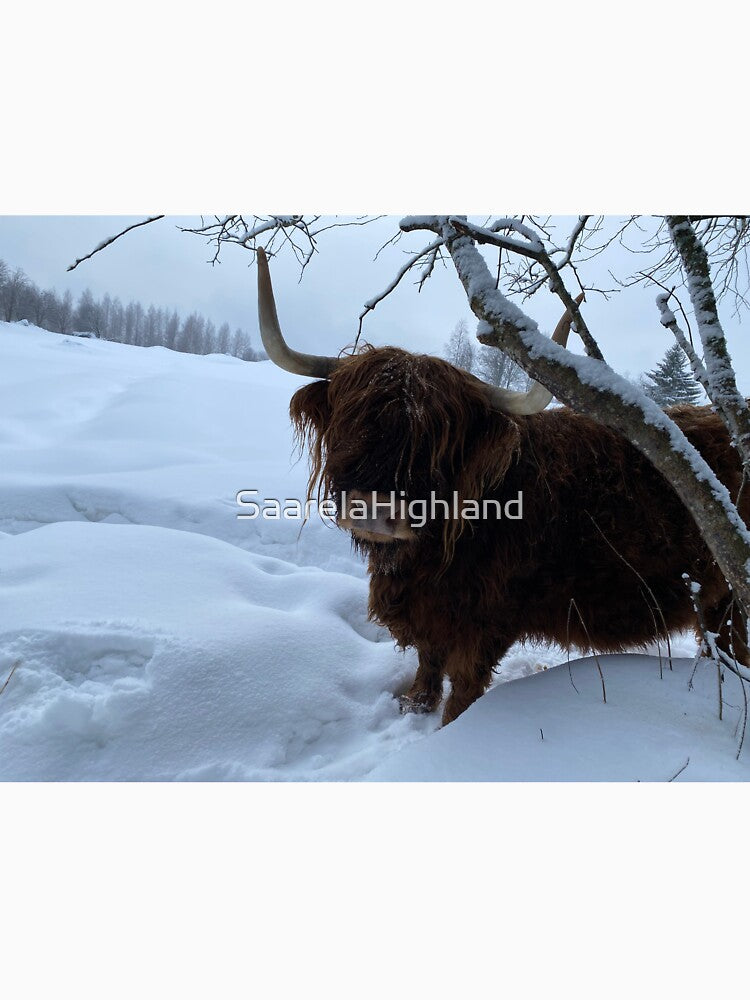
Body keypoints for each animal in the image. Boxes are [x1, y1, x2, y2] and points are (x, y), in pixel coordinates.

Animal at [255, 248, 750, 725]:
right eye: (352, 422)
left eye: (439, 442)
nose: (374, 508)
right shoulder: (431, 611)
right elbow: (427, 662)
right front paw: (414, 705)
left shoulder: (487, 618)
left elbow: (463, 685)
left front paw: (447, 730)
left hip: (729, 600)